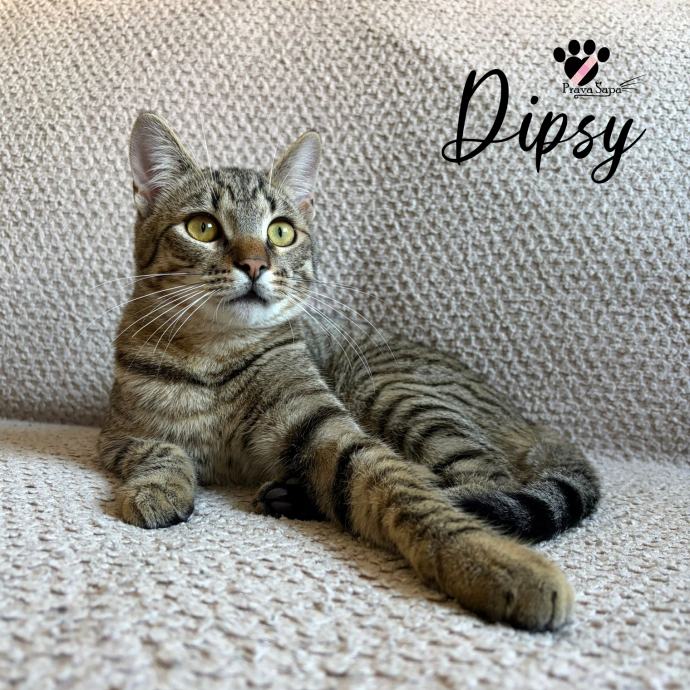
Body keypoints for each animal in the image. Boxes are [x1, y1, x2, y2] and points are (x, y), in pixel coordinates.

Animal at [98, 112, 600, 631]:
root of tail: (530, 422)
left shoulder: (323, 424)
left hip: (392, 390)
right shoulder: (118, 433)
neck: (215, 353)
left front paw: (493, 560)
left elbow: (405, 492)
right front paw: (159, 487)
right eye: (202, 227)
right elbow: (159, 450)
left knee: (481, 481)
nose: (255, 264)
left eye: (281, 232)